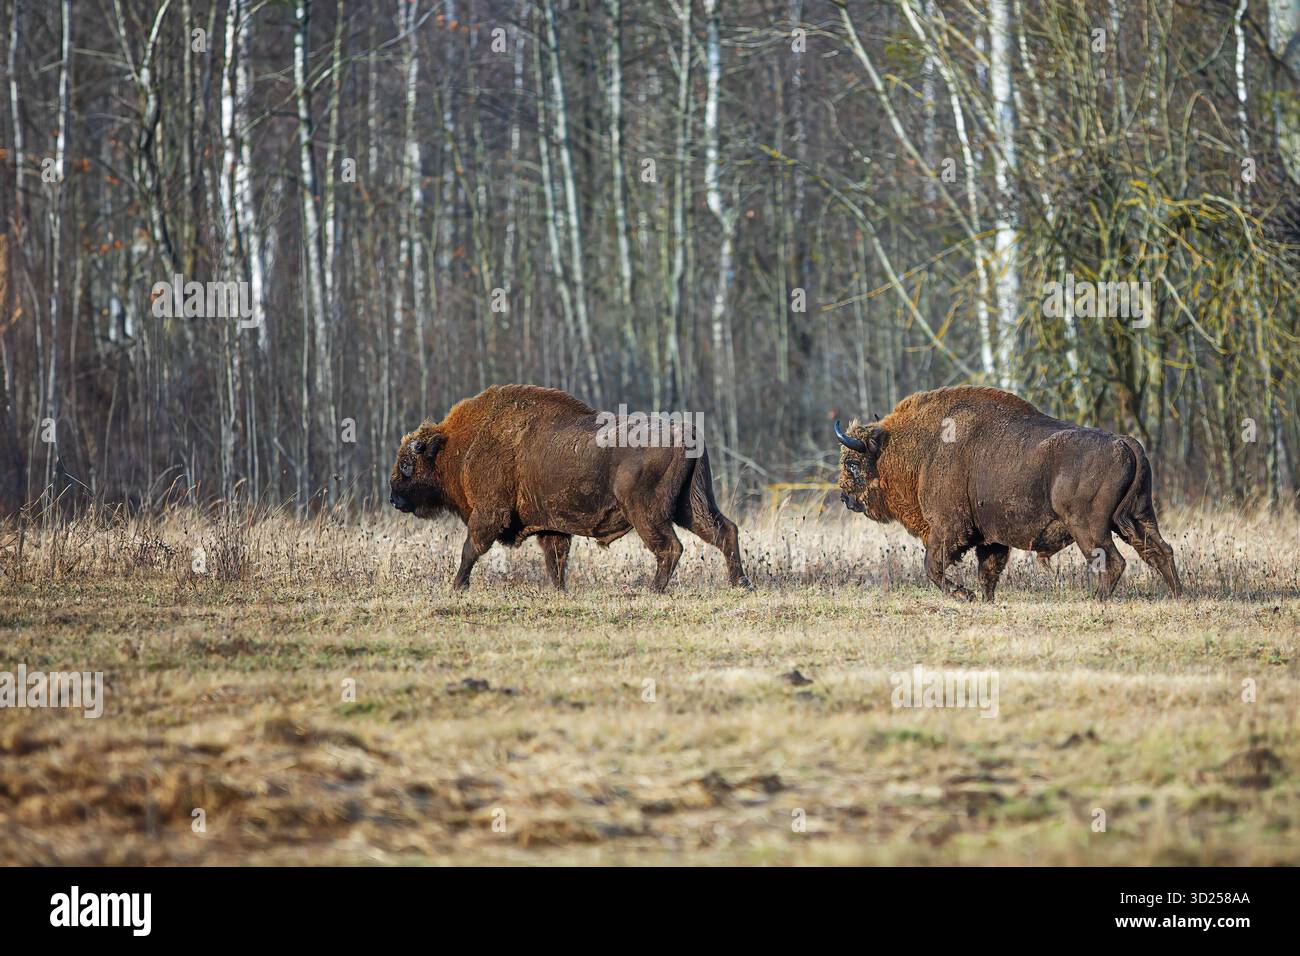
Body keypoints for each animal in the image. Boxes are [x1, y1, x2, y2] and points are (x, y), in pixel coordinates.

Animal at [390, 384, 751, 592]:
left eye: (407, 466)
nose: (393, 499)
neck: (461, 446)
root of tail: (687, 432)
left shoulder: (489, 513)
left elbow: (471, 549)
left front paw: (456, 587)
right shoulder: (551, 528)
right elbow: (556, 560)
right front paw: (559, 592)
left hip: (648, 513)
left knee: (671, 547)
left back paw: (653, 590)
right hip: (690, 506)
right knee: (724, 531)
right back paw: (740, 585)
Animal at [835, 386, 1183, 600]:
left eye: (852, 463)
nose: (844, 497)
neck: (920, 449)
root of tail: (1125, 442)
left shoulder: (948, 528)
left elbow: (932, 566)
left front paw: (964, 595)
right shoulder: (990, 540)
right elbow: (988, 572)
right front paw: (983, 599)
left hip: (1089, 527)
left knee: (1113, 561)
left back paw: (1096, 599)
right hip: (1138, 517)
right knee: (1160, 551)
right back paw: (1179, 595)